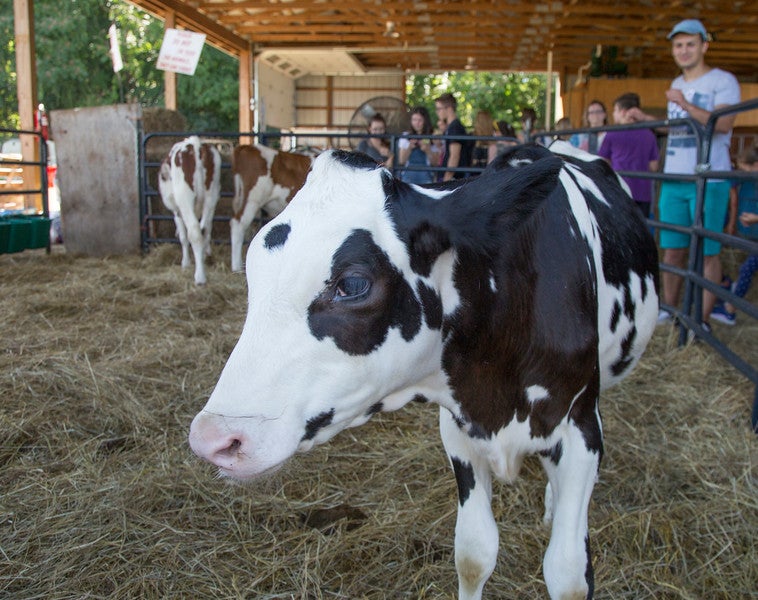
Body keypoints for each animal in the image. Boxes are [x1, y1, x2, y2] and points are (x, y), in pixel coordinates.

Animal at [158, 136, 222, 285]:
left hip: (185, 199)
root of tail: (195, 144)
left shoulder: (177, 212)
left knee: (195, 232)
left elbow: (183, 236)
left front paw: (185, 263)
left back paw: (200, 277)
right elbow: (208, 229)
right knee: (204, 230)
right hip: (211, 196)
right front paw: (206, 254)